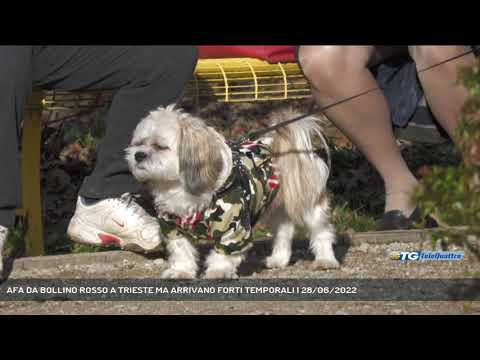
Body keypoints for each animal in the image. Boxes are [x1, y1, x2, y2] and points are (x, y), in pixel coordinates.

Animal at [125, 104, 340, 278]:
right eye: (138, 144)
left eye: (160, 146)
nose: (138, 155)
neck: (180, 189)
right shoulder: (173, 228)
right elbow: (181, 251)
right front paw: (181, 271)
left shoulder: (233, 228)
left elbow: (224, 253)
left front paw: (218, 271)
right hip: (276, 208)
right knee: (284, 231)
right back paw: (278, 259)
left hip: (309, 204)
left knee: (322, 232)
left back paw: (326, 260)